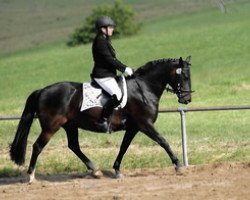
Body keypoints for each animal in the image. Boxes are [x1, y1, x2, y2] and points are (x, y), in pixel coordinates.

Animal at [9, 55, 192, 182]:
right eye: (184, 77)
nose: (187, 99)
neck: (144, 88)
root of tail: (42, 91)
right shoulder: (144, 124)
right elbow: (163, 141)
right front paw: (178, 166)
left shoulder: (133, 127)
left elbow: (123, 147)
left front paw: (117, 170)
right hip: (51, 127)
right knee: (37, 146)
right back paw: (31, 176)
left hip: (70, 125)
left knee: (74, 146)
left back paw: (95, 170)